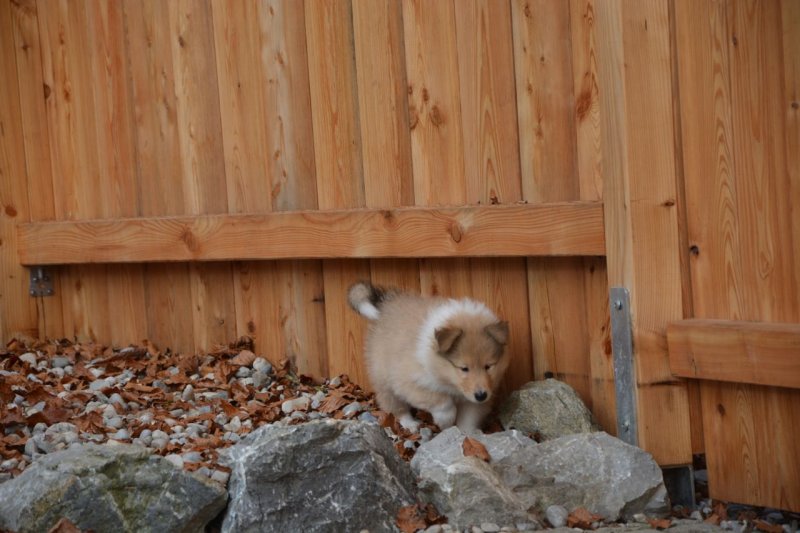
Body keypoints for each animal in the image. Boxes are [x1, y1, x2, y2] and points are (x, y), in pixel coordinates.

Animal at [347, 281, 510, 433]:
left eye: (488, 366)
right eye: (464, 368)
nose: (481, 395)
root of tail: (385, 306)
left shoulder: (473, 399)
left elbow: (469, 418)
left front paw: (467, 435)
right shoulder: (409, 382)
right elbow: (442, 402)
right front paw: (445, 421)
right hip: (385, 380)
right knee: (397, 407)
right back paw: (410, 424)